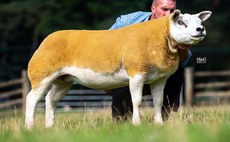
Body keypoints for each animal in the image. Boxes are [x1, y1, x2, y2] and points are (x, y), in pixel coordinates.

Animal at [24, 9, 210, 129]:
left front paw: (159, 124)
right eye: (181, 22)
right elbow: (137, 101)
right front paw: (136, 123)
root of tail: (46, 39)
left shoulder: (159, 78)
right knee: (31, 99)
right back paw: (29, 127)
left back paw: (50, 126)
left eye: (199, 22)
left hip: (63, 80)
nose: (200, 29)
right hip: (42, 74)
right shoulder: (137, 73)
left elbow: (158, 101)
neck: (160, 38)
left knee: (50, 99)